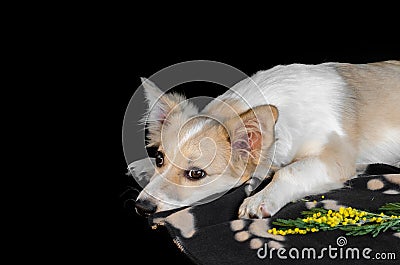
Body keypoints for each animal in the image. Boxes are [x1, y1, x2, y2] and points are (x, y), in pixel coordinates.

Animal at [135, 60, 400, 218]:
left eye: (196, 174)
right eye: (159, 159)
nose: (142, 207)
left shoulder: (337, 159)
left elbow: (288, 171)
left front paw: (261, 197)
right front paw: (143, 166)